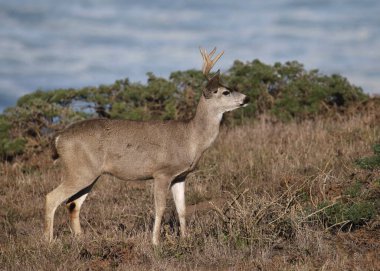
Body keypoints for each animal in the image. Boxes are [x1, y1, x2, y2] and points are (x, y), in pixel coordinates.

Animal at [45, 47, 249, 246]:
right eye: (225, 92)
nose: (246, 98)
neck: (191, 138)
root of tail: (59, 137)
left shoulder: (180, 176)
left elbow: (182, 209)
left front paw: (186, 239)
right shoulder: (162, 172)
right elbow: (160, 208)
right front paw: (155, 242)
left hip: (89, 174)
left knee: (72, 204)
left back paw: (81, 239)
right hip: (80, 170)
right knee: (51, 198)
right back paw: (48, 241)